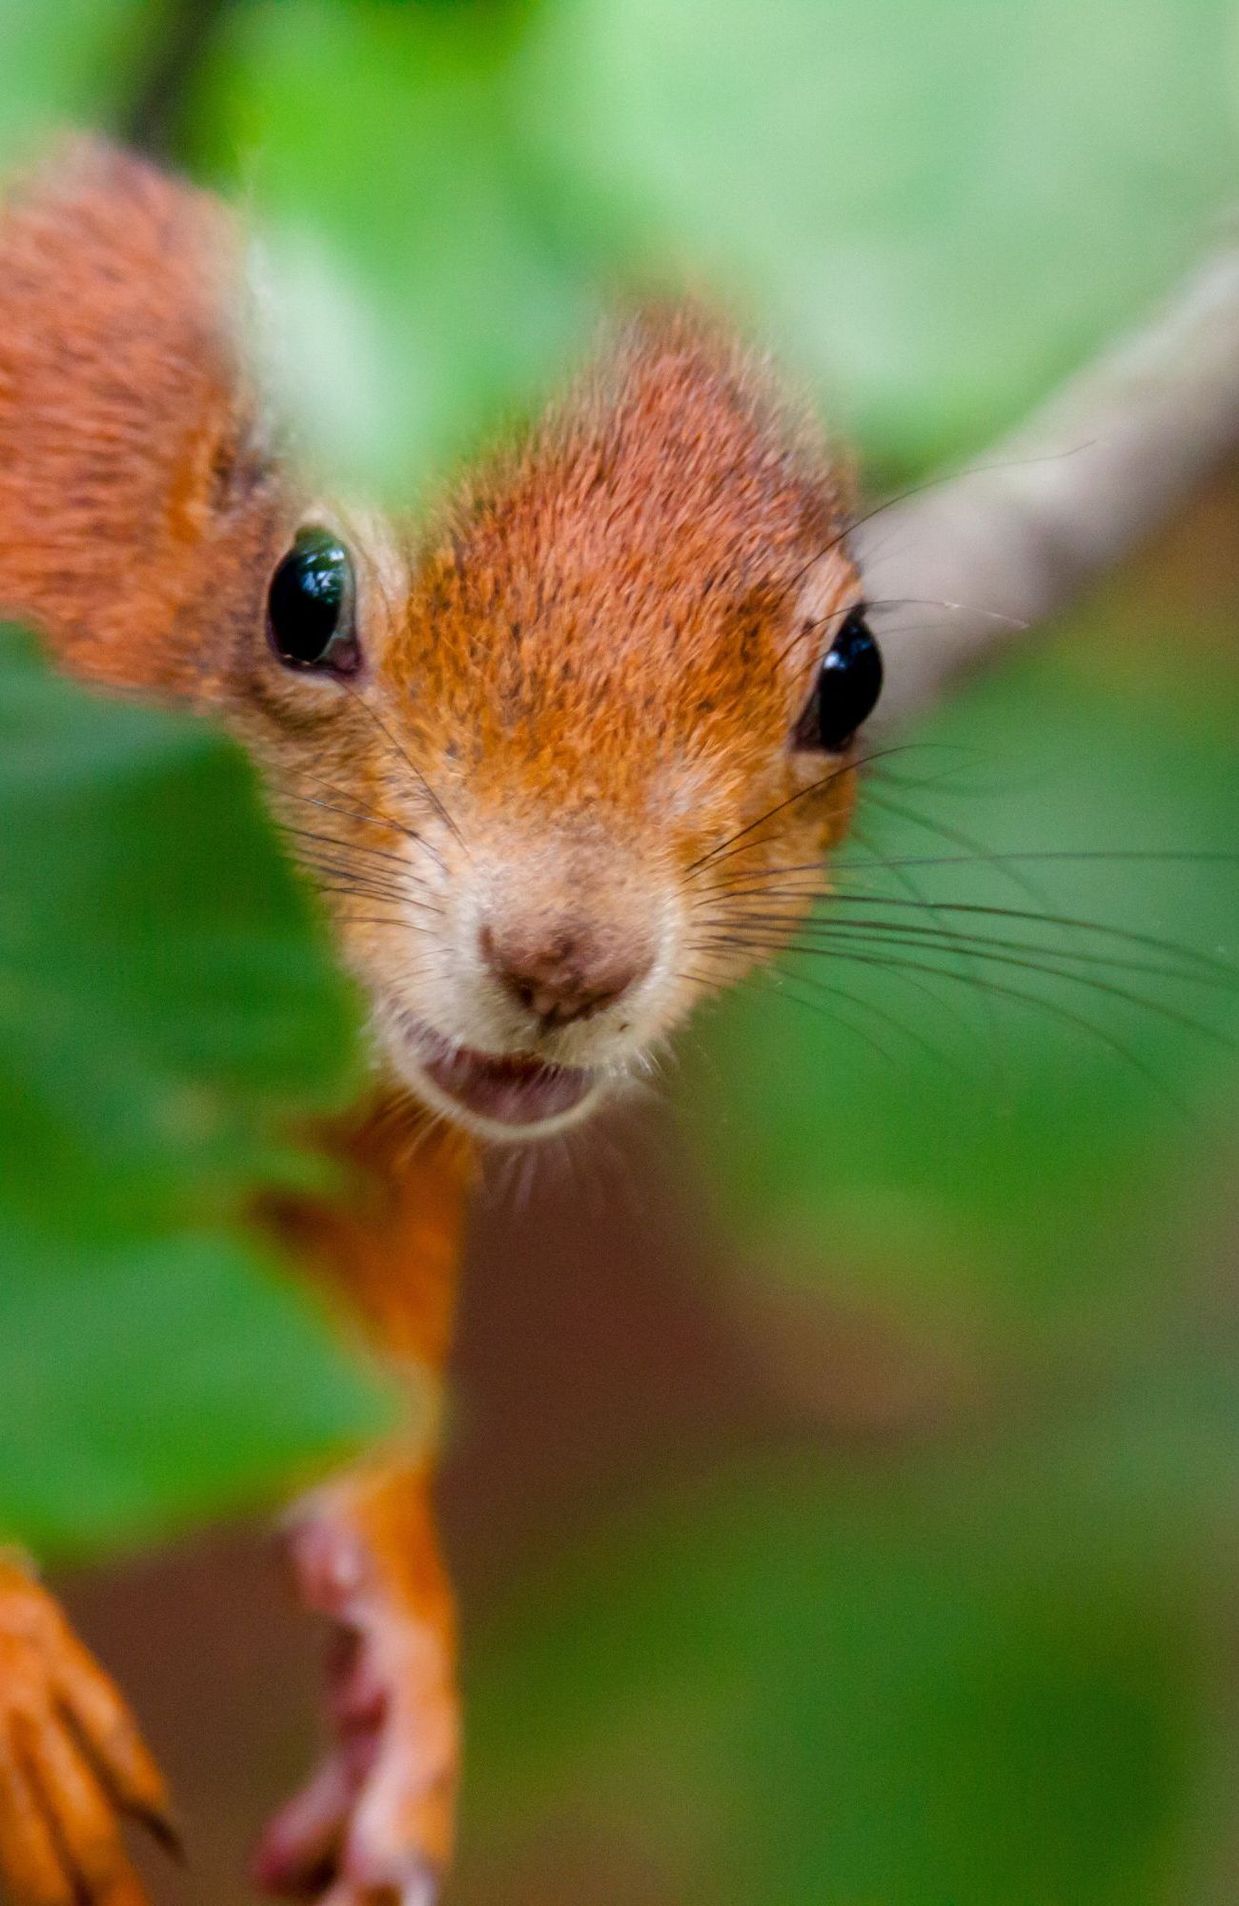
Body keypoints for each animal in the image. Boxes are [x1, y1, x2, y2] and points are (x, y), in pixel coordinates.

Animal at [0, 141, 873, 1906]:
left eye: (853, 672)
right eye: (303, 594)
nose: (563, 958)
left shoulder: (348, 1096)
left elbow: (352, 1349)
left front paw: (402, 1618)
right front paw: (20, 1687)